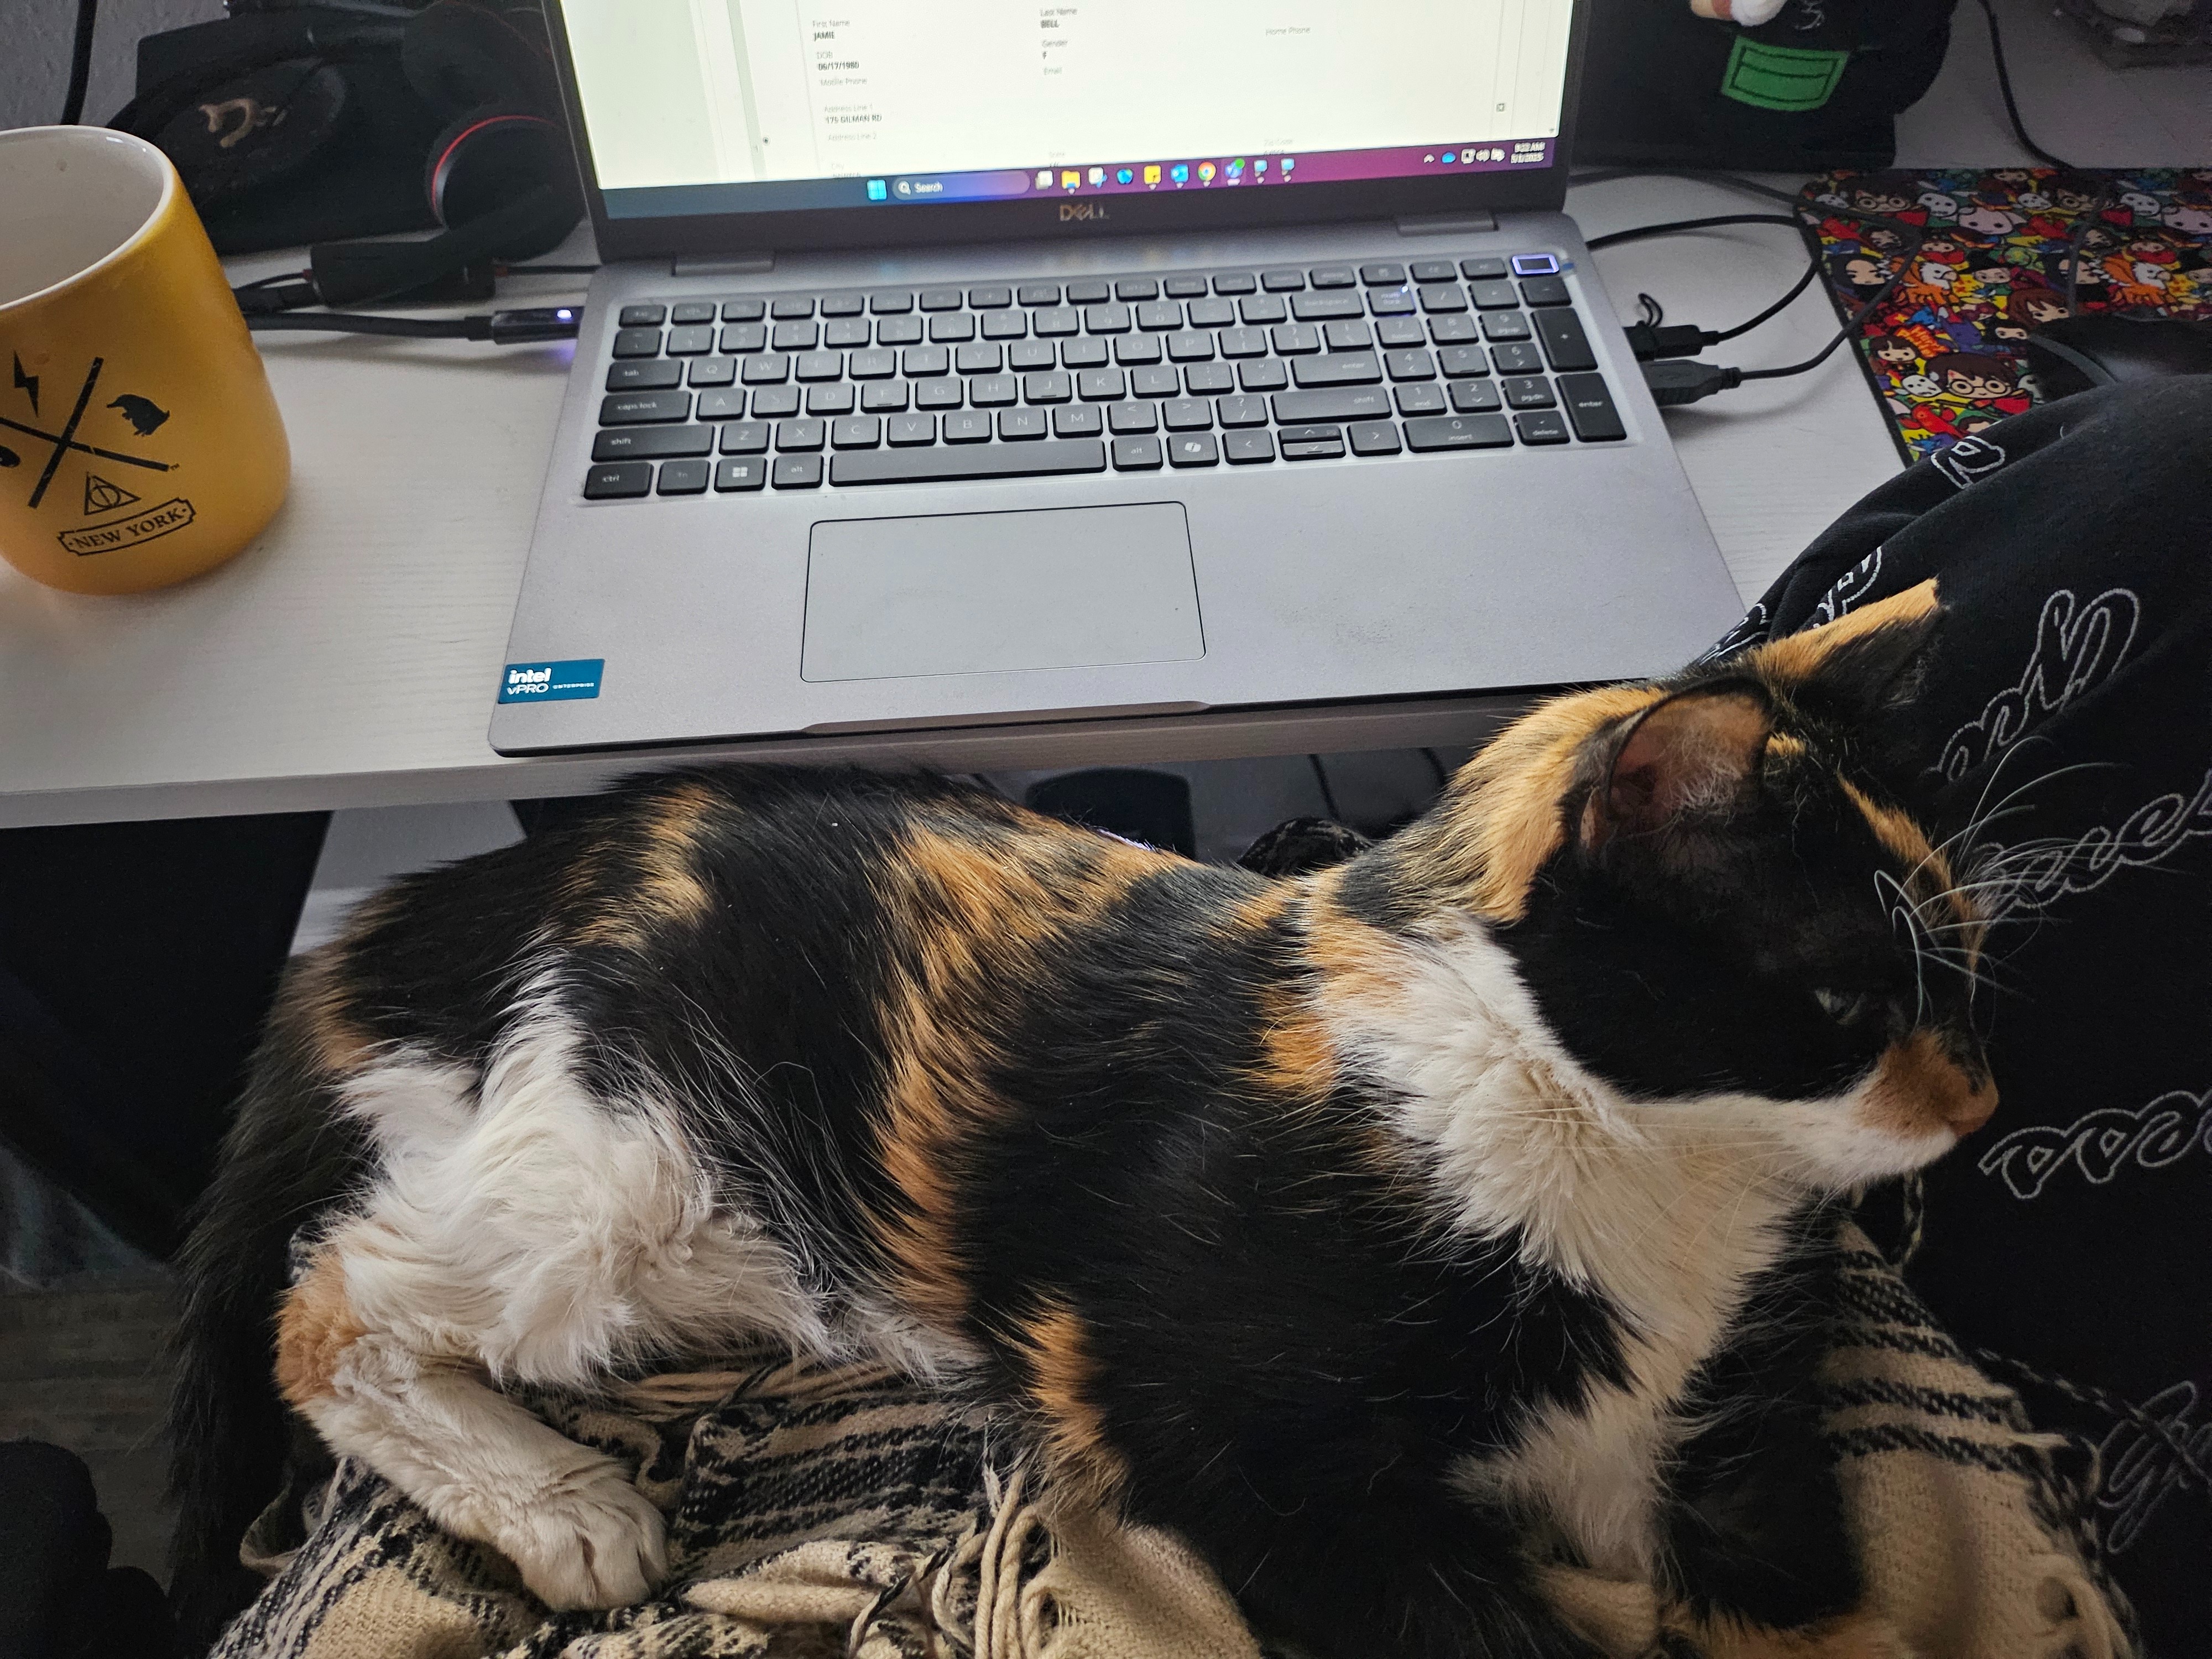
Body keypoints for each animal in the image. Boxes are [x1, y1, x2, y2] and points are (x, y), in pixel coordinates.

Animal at [169, 581, 1992, 1658]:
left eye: (1963, 965)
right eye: (1841, 1005)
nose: (1977, 1100)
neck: (1647, 1170)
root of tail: (541, 861)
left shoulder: (1709, 1428)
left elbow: (1803, 1597)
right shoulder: (1213, 1429)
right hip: (635, 1178)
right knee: (334, 1296)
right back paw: (559, 1501)